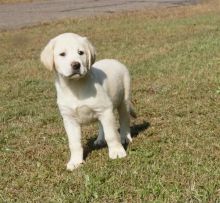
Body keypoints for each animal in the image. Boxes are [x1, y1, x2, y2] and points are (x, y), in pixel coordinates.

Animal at [40, 33, 135, 170]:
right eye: (62, 54)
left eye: (81, 52)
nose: (76, 65)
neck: (75, 87)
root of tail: (114, 60)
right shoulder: (69, 119)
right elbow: (74, 143)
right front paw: (75, 161)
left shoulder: (105, 110)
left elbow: (111, 134)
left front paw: (117, 152)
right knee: (101, 125)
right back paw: (100, 139)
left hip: (124, 100)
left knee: (124, 120)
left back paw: (125, 137)